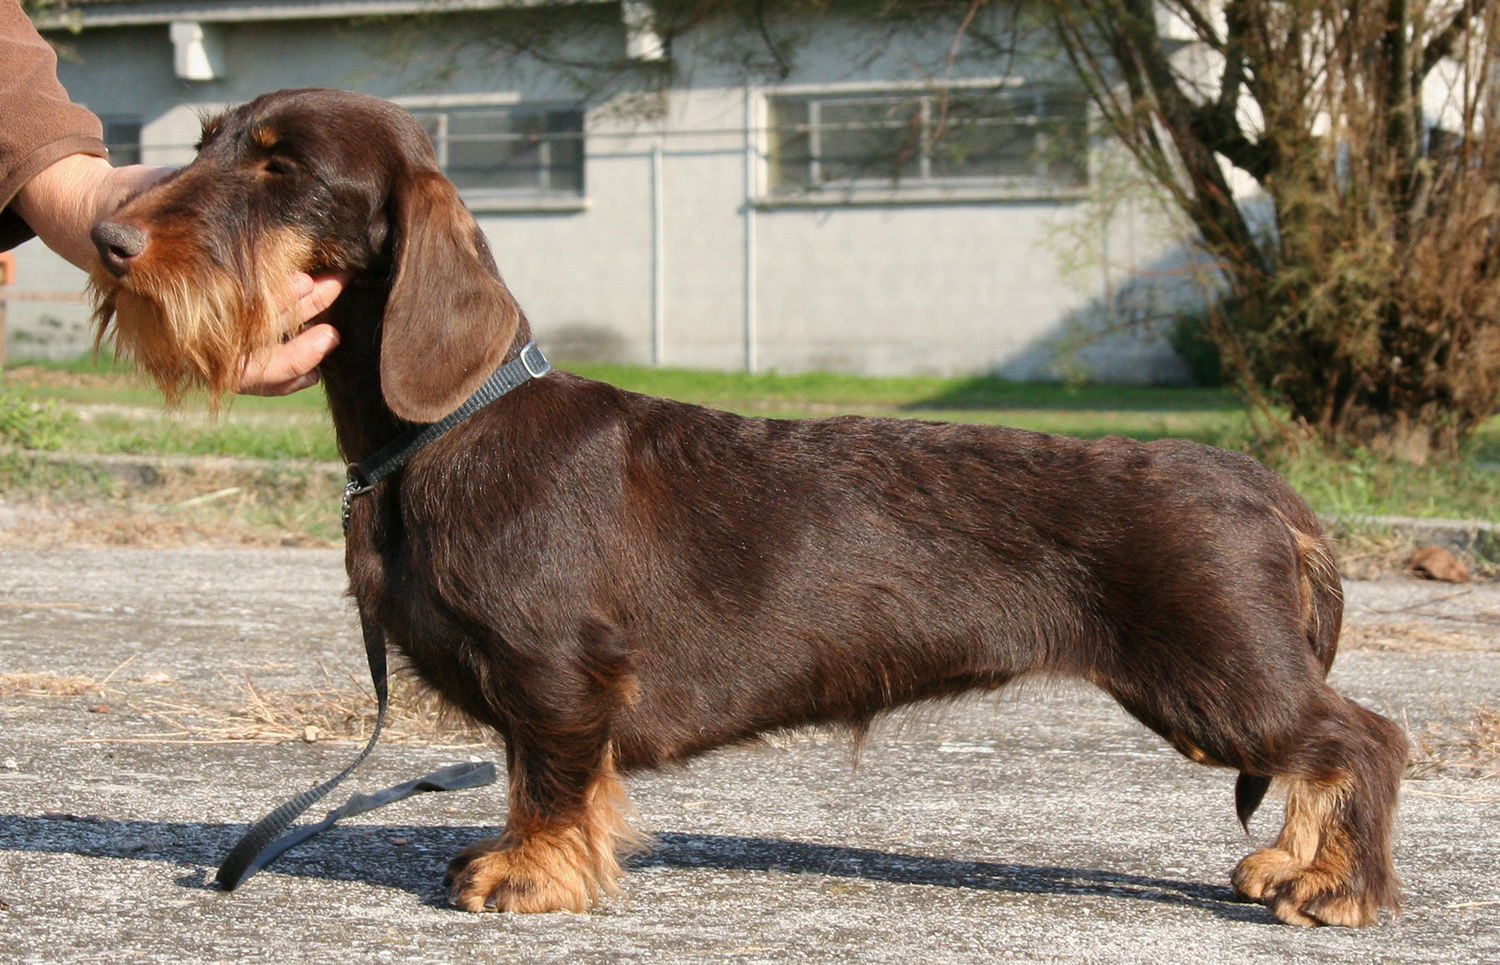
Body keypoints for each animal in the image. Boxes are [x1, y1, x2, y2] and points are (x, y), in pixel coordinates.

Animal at [90, 90, 1404, 930]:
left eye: (282, 170)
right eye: (204, 142)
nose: (104, 235)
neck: (448, 426)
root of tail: (1258, 482)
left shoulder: (559, 674)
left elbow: (551, 778)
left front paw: (532, 875)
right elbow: (533, 774)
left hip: (1216, 680)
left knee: (1363, 738)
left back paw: (1335, 885)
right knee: (1324, 749)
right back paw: (1291, 861)